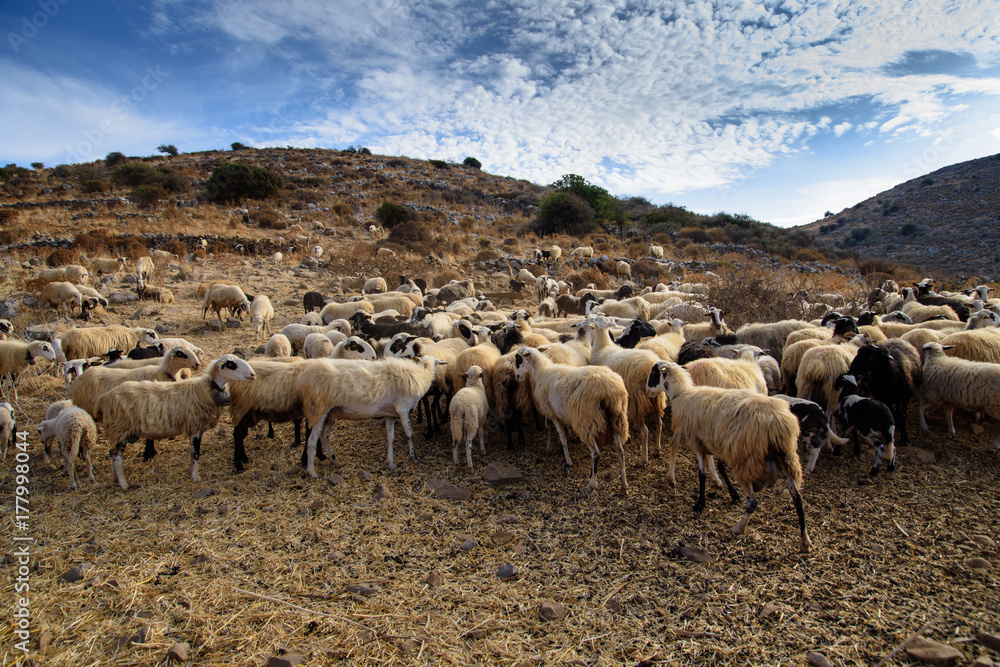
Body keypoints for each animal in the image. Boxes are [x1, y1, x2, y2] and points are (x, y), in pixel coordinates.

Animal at [103, 354, 257, 489]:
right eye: (231, 365)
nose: (252, 374)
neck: (205, 389)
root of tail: (106, 397)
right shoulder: (195, 427)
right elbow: (196, 453)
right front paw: (195, 477)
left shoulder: (198, 428)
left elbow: (194, 454)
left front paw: (191, 471)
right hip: (121, 428)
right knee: (117, 457)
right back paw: (123, 484)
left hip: (119, 431)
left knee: (112, 453)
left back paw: (115, 478)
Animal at [297, 356, 441, 475]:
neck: (421, 374)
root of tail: (304, 376)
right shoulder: (403, 409)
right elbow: (409, 435)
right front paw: (414, 457)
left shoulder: (390, 414)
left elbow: (390, 438)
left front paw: (391, 463)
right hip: (319, 409)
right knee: (312, 441)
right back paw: (312, 472)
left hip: (330, 413)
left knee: (324, 437)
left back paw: (335, 462)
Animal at [514, 347, 629, 496]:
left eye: (518, 359)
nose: (516, 377)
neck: (541, 372)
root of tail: (607, 390)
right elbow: (552, 429)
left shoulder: (551, 412)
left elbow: (560, 436)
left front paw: (567, 462)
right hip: (617, 419)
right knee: (621, 452)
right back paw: (624, 486)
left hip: (586, 421)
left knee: (596, 454)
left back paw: (591, 485)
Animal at [646, 360, 810, 553]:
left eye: (654, 374)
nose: (647, 391)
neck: (683, 394)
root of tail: (778, 423)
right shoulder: (716, 444)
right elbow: (720, 467)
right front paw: (732, 494)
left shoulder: (698, 442)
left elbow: (702, 475)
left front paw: (700, 503)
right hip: (787, 460)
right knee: (798, 500)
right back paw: (805, 542)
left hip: (747, 460)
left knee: (753, 502)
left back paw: (738, 528)